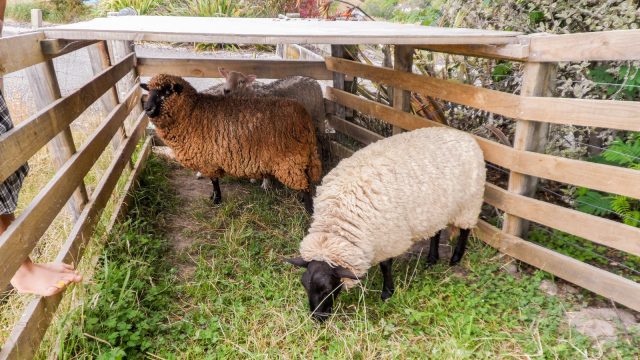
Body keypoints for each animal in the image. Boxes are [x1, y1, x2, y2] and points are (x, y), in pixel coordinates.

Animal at [139, 74, 320, 212]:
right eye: (149, 91)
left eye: (167, 92)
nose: (147, 108)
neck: (192, 112)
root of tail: (303, 114)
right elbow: (213, 180)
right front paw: (213, 196)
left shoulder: (208, 157)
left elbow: (214, 181)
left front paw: (216, 199)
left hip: (290, 156)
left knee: (305, 184)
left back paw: (308, 209)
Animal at [286, 126, 484, 320]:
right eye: (304, 285)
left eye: (327, 289)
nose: (317, 318)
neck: (337, 226)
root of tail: (465, 135)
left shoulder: (389, 238)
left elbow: (385, 266)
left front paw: (387, 292)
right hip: (438, 209)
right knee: (436, 232)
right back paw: (431, 259)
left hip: (469, 203)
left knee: (465, 230)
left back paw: (455, 258)